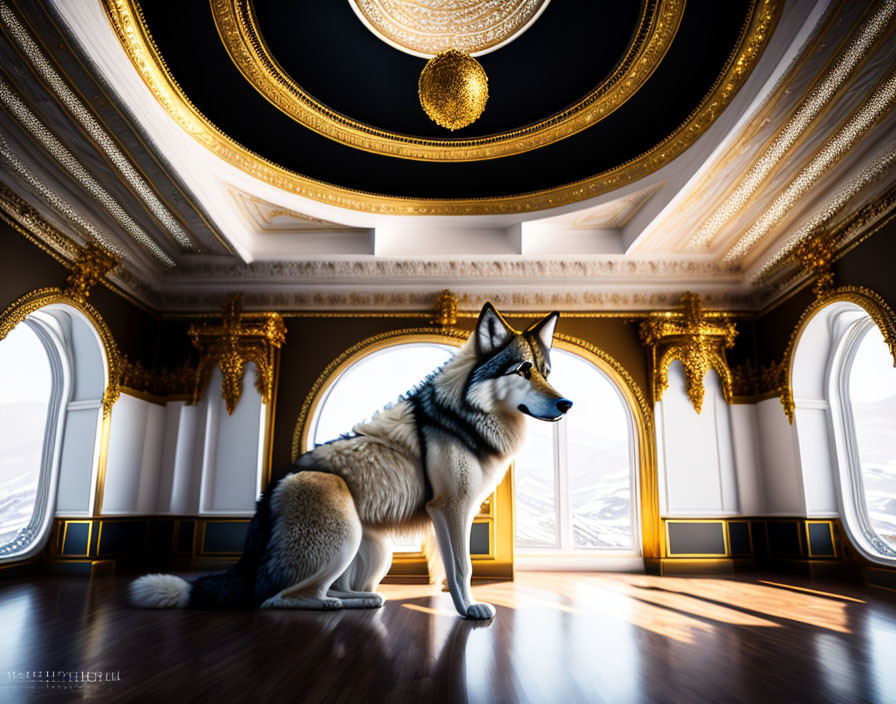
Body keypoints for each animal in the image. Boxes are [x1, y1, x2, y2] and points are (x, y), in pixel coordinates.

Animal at [130, 300, 572, 620]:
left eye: (546, 372)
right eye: (523, 370)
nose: (566, 403)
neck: (464, 415)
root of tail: (265, 499)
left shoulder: (447, 515)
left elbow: (452, 567)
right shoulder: (451, 508)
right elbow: (463, 567)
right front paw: (470, 611)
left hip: (376, 550)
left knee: (335, 589)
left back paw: (362, 600)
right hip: (343, 531)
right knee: (276, 599)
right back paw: (331, 606)